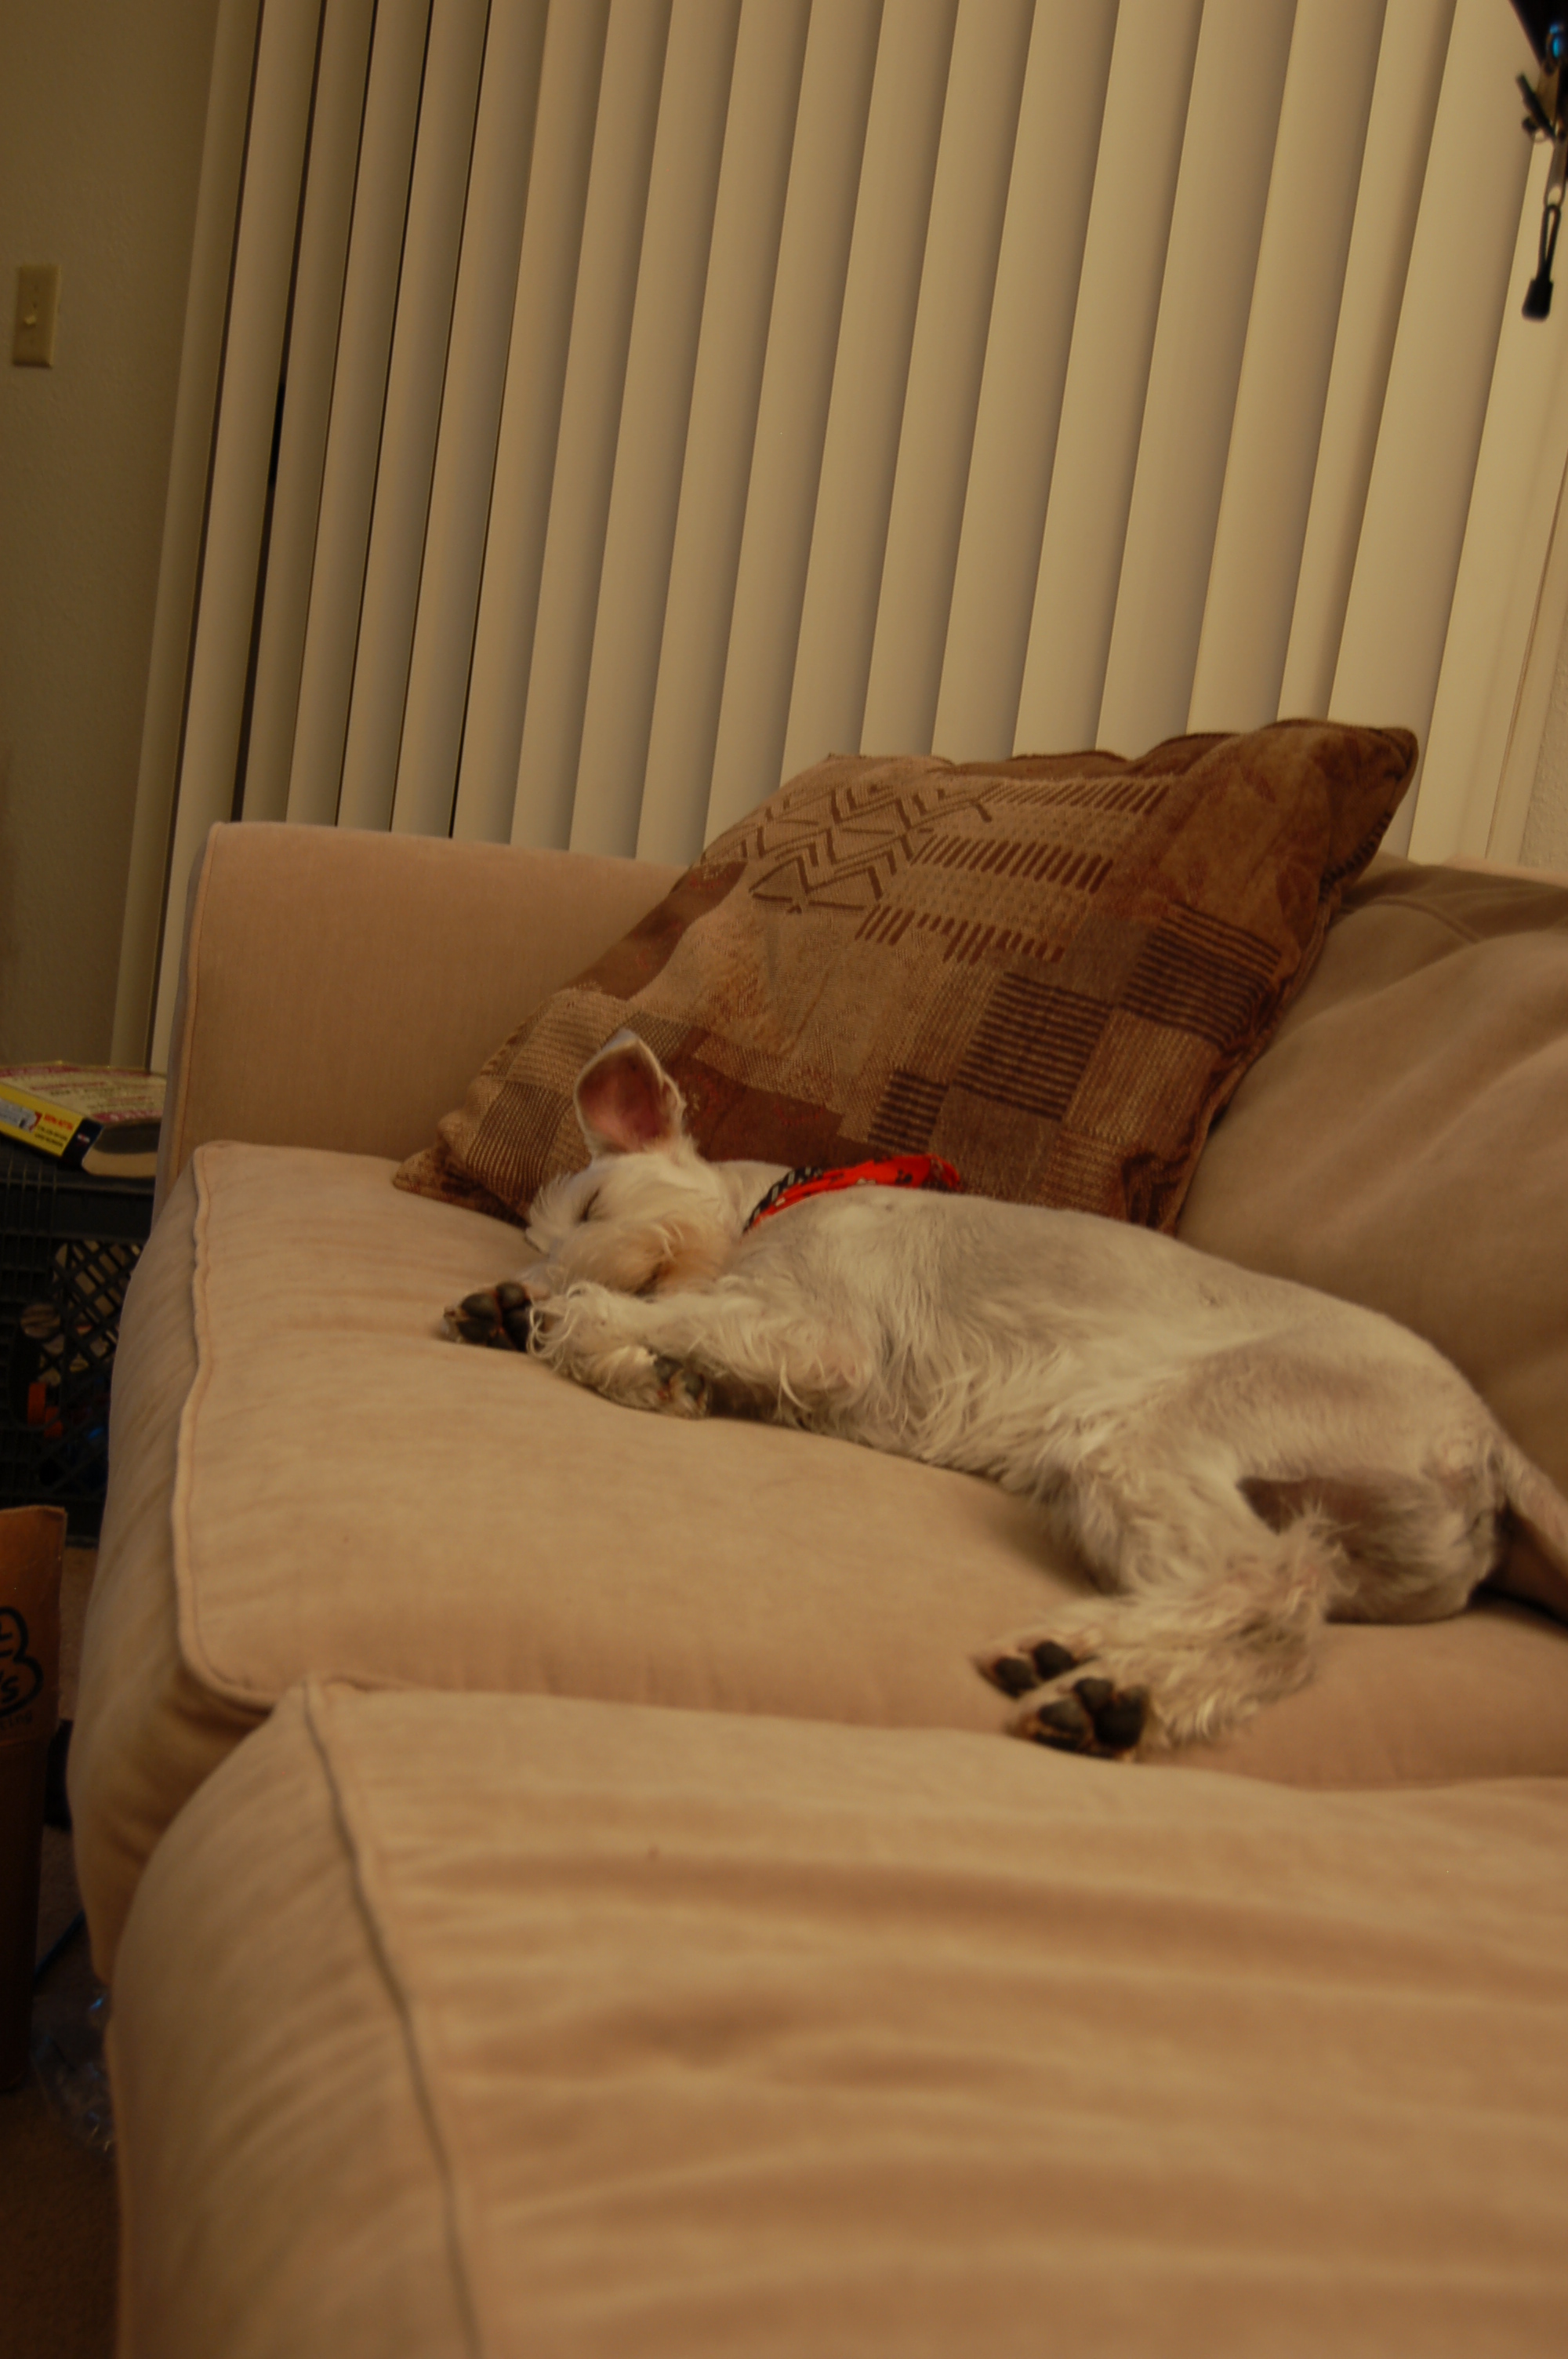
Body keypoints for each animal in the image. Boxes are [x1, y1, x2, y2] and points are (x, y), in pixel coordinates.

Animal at [449, 1029, 1568, 1760]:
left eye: (592, 1201)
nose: (522, 1284)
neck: (775, 1205)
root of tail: (1485, 1438)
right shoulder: (788, 1359)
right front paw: (623, 1360)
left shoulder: (817, 1332)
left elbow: (628, 1317)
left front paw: (569, 1325)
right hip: (1345, 1542)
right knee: (1288, 1608)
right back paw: (1107, 1687)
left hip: (1140, 1435)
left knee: (1273, 1591)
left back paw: (1104, 1673)